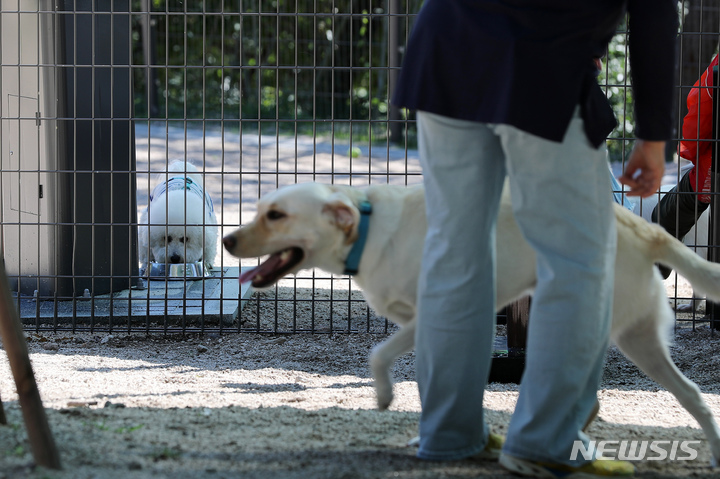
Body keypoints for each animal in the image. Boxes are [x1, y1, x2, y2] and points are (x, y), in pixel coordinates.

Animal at [222, 182, 720, 466]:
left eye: (276, 215)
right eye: (260, 209)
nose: (226, 241)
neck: (367, 228)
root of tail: (646, 229)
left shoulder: (433, 315)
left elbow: (378, 354)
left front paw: (384, 398)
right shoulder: (421, 324)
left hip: (605, 326)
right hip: (637, 336)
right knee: (691, 395)